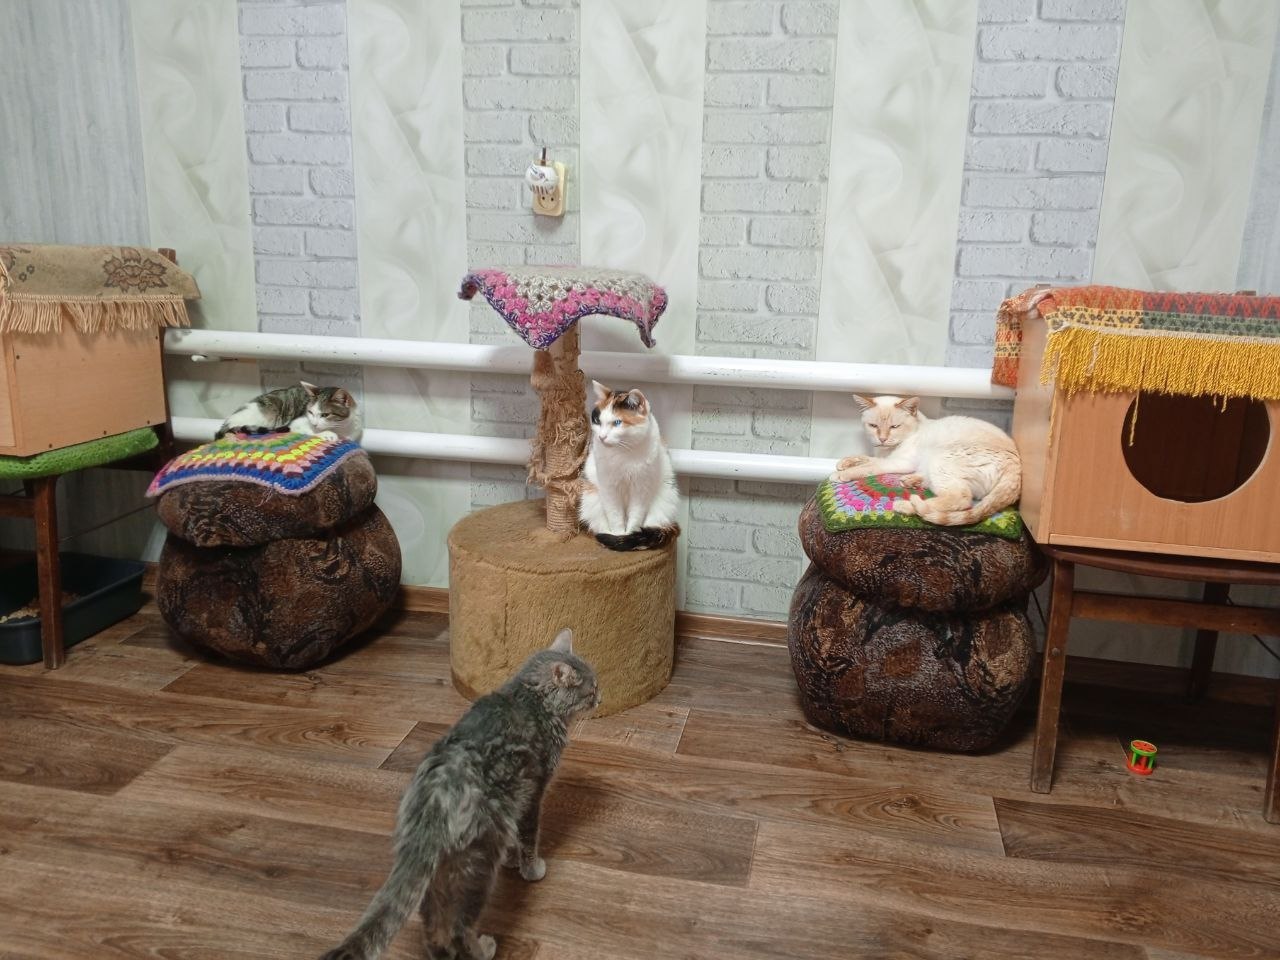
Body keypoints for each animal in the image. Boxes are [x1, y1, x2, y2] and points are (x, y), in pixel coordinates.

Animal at [215, 381, 362, 442]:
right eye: (310, 412)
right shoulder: (296, 423)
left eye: (325, 415)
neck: (341, 427)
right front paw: (326, 433)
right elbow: (312, 431)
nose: (314, 424)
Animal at [319, 628, 599, 960]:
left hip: (441, 872)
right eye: (592, 689)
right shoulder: (533, 790)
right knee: (455, 928)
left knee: (434, 930)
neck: (531, 699)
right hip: (475, 864)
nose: (601, 697)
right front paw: (530, 869)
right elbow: (528, 838)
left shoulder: (519, 795)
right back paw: (484, 949)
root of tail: (429, 805)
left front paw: (512, 860)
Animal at [578, 380, 680, 551]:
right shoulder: (608, 487)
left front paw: (628, 536)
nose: (602, 437)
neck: (623, 453)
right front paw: (618, 535)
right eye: (598, 421)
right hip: (591, 499)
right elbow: (615, 515)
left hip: (664, 499)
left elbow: (636, 516)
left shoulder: (641, 488)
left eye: (617, 422)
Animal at [831, 394, 1021, 526]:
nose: (882, 439)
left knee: (960, 500)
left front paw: (841, 474)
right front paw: (845, 462)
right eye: (873, 426)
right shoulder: (882, 456)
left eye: (894, 427)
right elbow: (864, 458)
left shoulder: (898, 462)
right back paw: (911, 481)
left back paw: (905, 505)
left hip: (941, 459)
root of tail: (1016, 465)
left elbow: (869, 466)